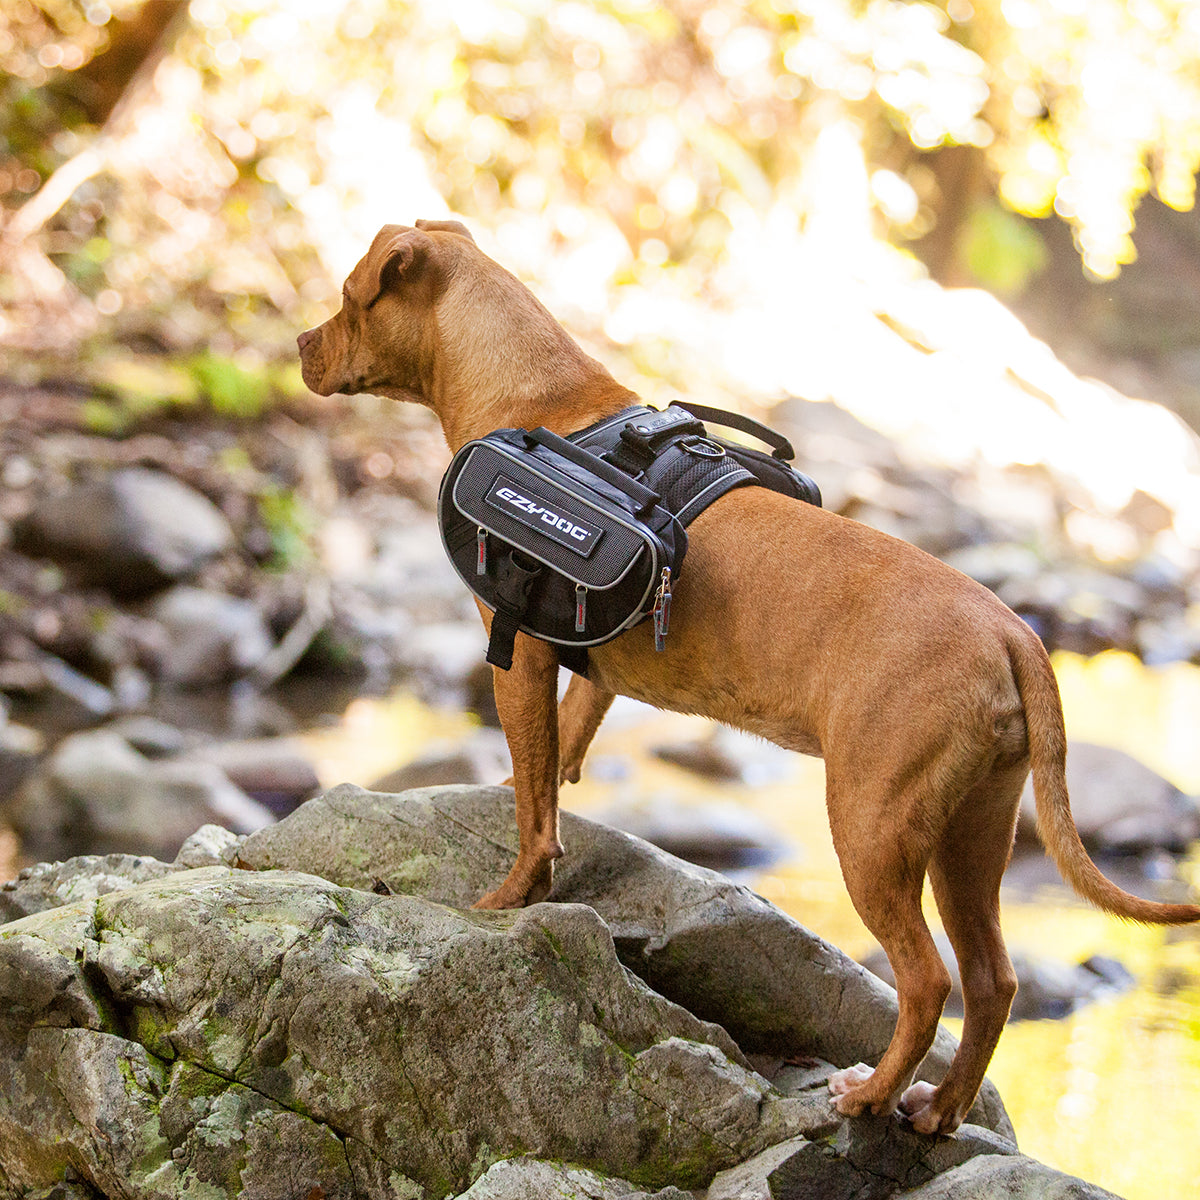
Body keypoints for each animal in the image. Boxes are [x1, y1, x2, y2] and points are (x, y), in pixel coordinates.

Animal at [295, 223, 1195, 1132]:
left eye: (346, 298)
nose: (299, 344)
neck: (540, 392)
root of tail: (1016, 634)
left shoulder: (520, 655)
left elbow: (533, 807)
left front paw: (508, 897)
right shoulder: (588, 673)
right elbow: (557, 766)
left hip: (871, 827)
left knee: (927, 978)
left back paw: (870, 1094)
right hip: (971, 835)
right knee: (993, 980)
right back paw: (938, 1109)